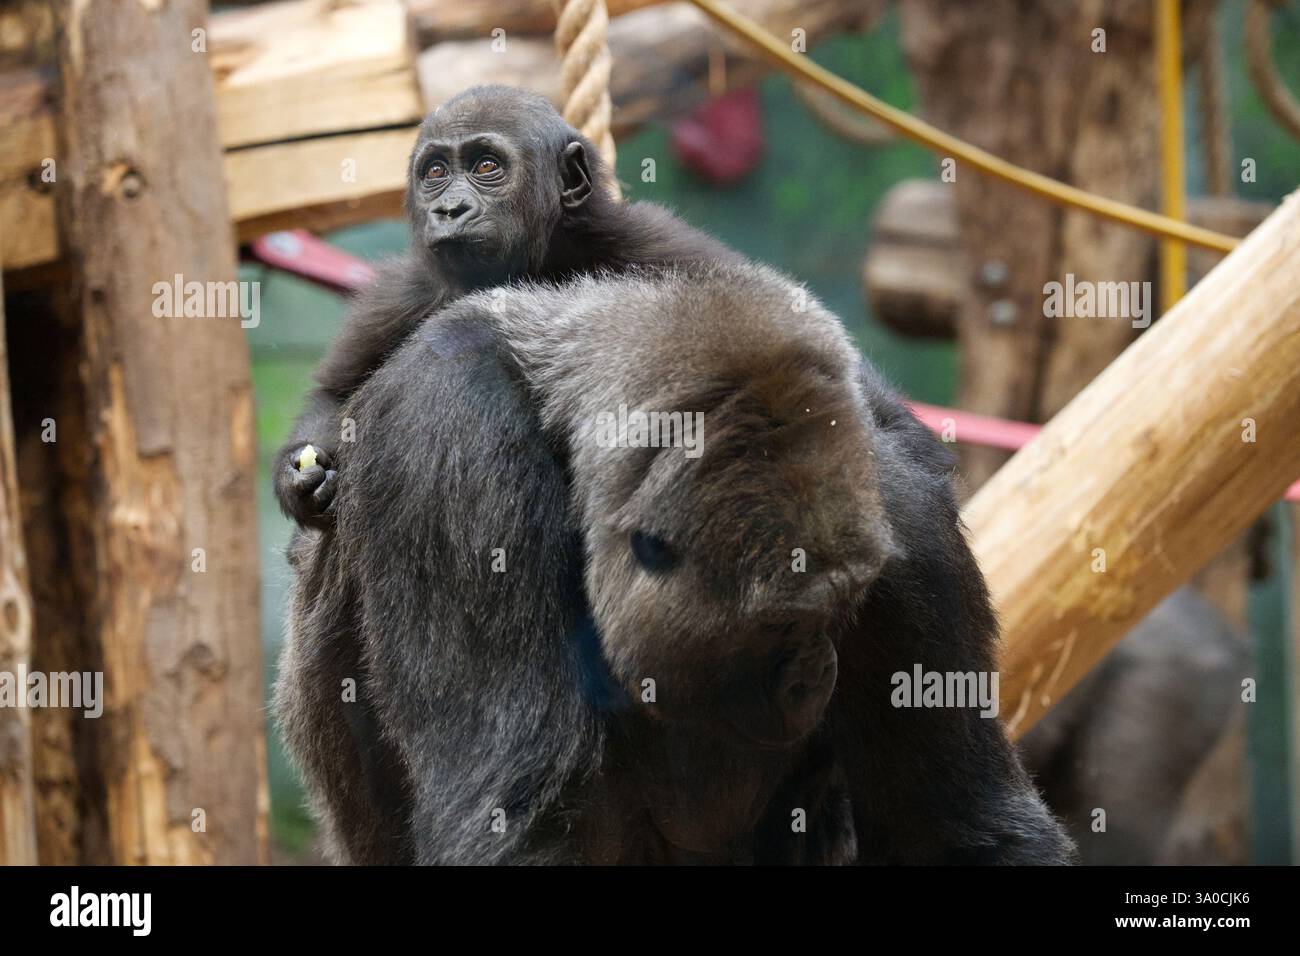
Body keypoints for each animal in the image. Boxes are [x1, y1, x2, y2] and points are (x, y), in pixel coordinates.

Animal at [274, 84, 737, 530]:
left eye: (485, 167)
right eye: (436, 172)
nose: (449, 209)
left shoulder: (659, 247)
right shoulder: (403, 293)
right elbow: (332, 393)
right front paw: (298, 478)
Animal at [280, 261, 1074, 864]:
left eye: (841, 611)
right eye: (779, 626)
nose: (815, 675)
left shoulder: (897, 508)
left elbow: (962, 827)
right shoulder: (450, 426)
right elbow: (515, 816)